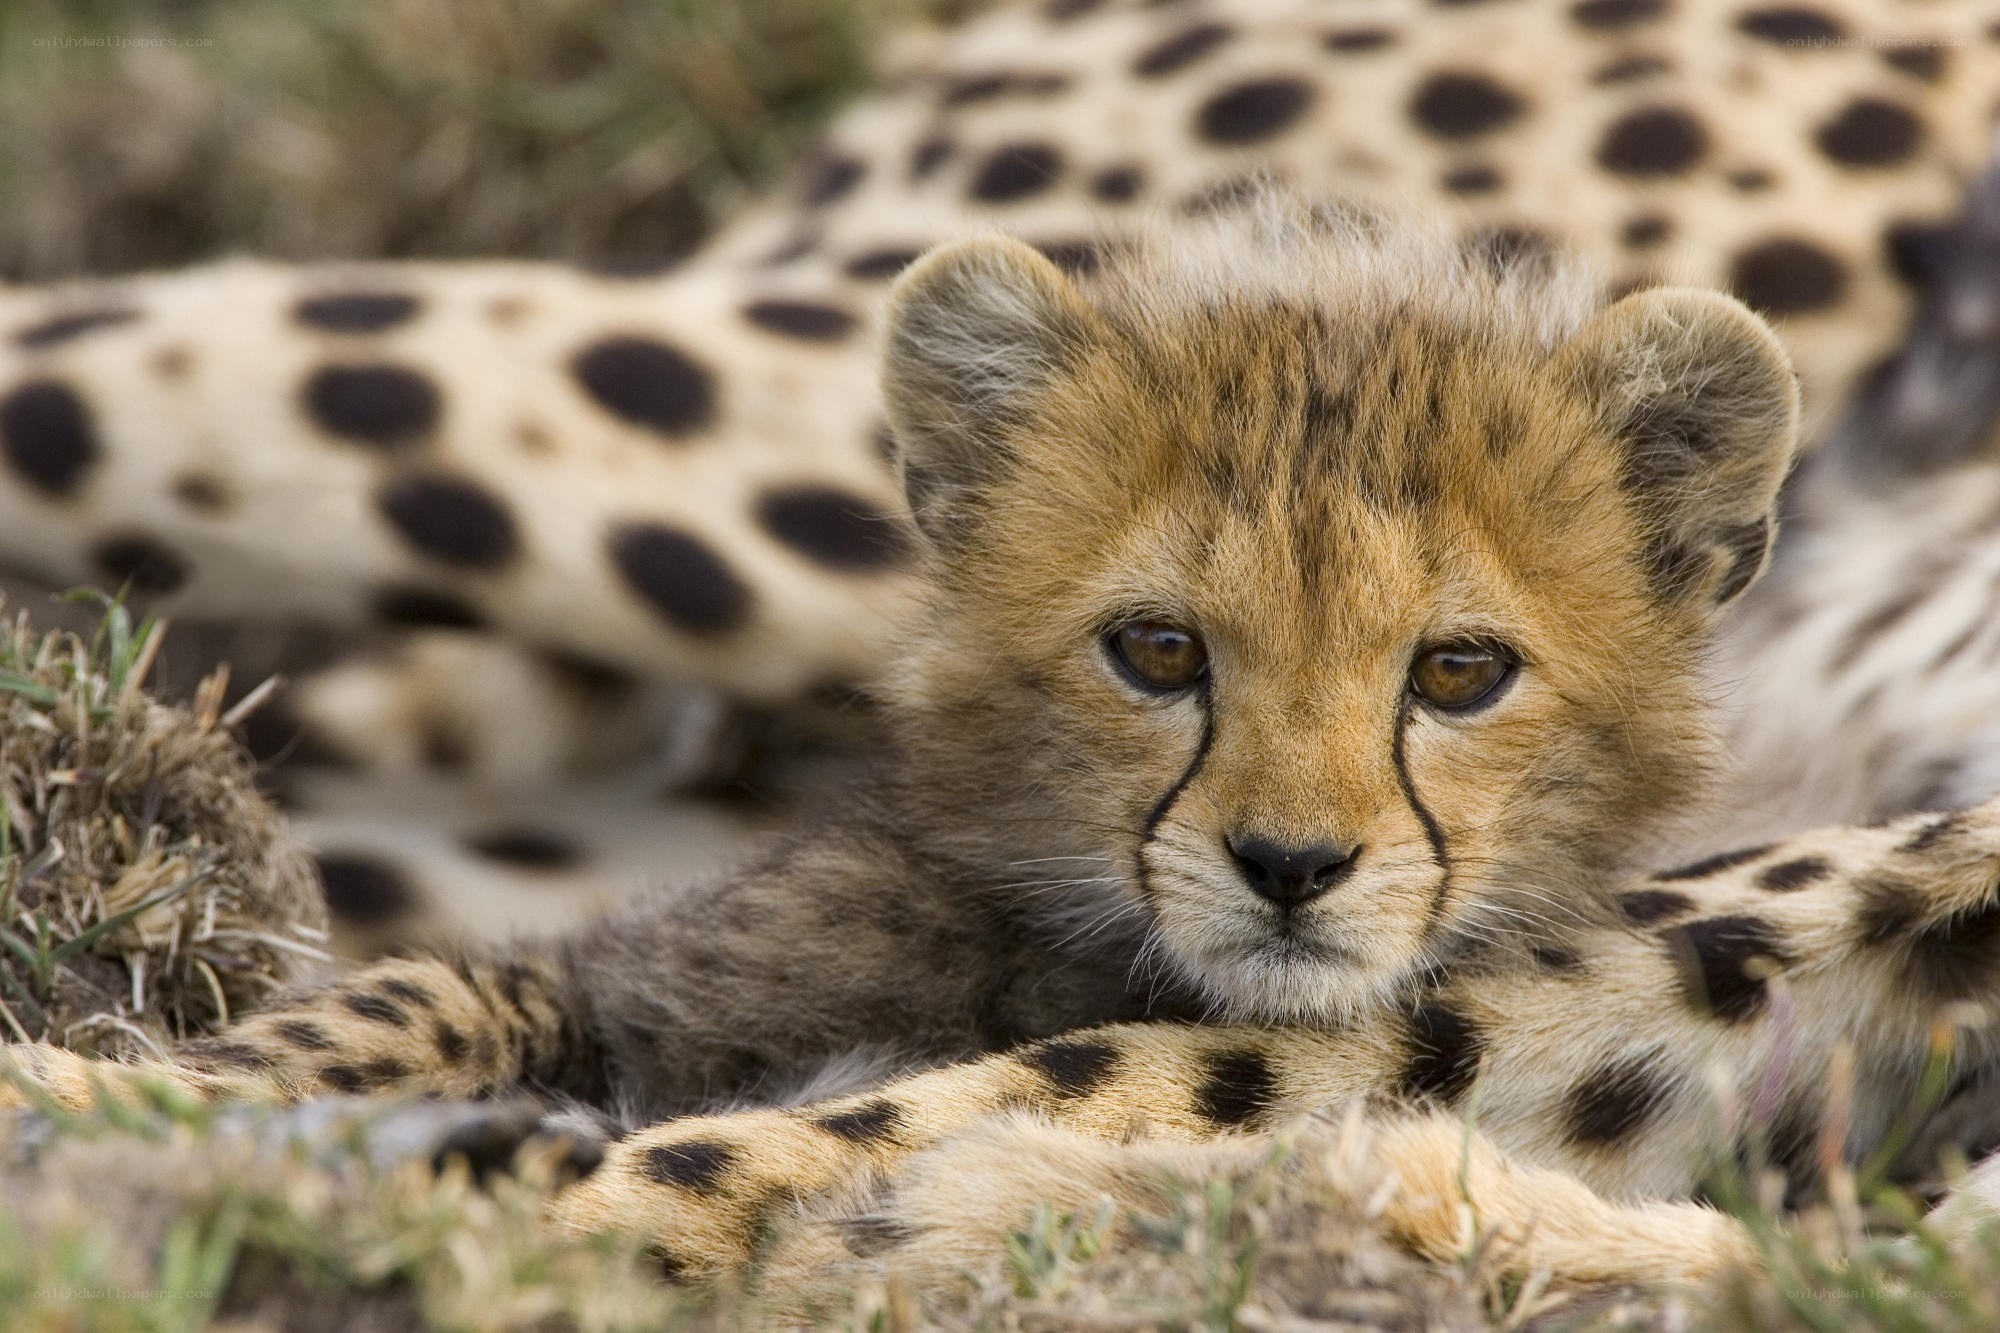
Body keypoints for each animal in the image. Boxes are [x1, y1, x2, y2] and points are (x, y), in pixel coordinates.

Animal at [11, 204, 2000, 1306]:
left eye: (1459, 668)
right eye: (1159, 650)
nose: (1292, 866)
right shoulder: (638, 976)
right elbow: (420, 998)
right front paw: (147, 1102)